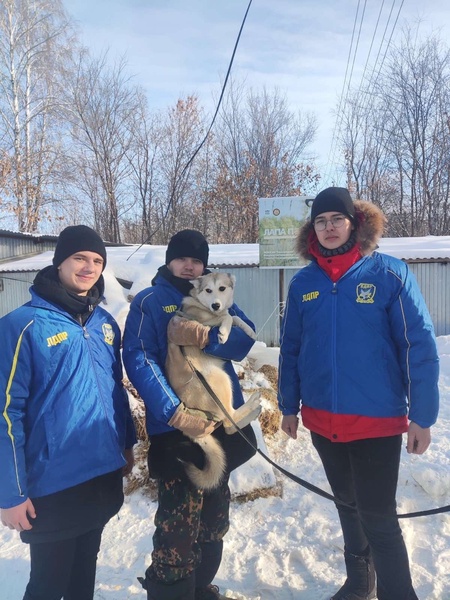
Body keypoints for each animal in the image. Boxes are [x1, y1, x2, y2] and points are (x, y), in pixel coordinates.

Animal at [166, 274, 262, 490]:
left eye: (222, 288)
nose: (216, 305)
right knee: (229, 422)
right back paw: (253, 404)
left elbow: (235, 317)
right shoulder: (208, 325)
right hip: (220, 378)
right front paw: (224, 333)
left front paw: (249, 331)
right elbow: (228, 318)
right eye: (208, 290)